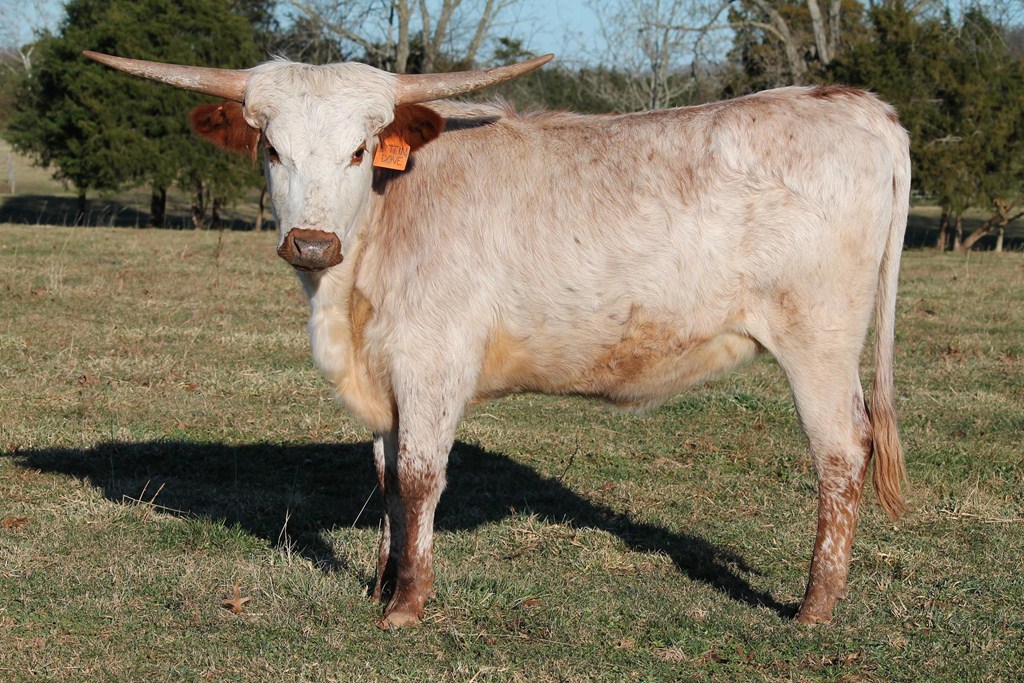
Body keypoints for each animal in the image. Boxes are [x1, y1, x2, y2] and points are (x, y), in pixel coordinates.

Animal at [85, 50, 909, 629]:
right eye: (271, 149)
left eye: (360, 149)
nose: (312, 243)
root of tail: (857, 104)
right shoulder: (387, 372)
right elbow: (387, 477)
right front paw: (382, 581)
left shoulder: (434, 361)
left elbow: (420, 477)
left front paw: (407, 605)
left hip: (819, 338)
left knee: (842, 450)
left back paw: (813, 606)